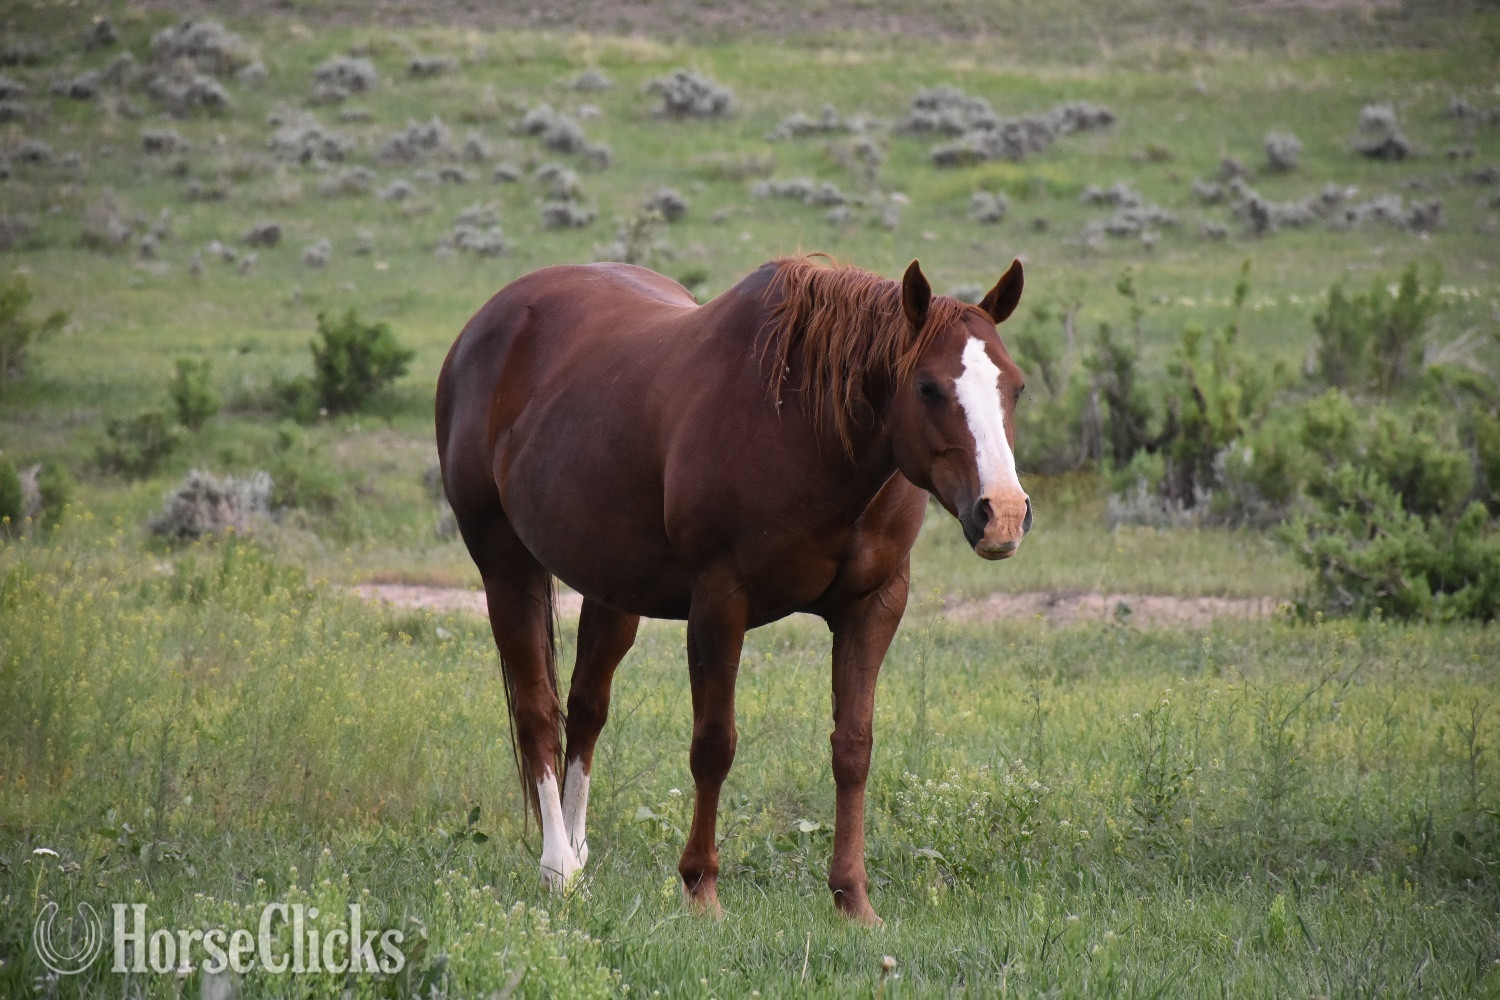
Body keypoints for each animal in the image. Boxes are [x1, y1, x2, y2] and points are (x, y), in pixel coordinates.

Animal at [435, 253, 1030, 924]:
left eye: (1015, 386)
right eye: (928, 387)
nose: (1003, 515)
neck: (805, 428)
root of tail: (487, 324)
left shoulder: (873, 607)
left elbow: (853, 748)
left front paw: (853, 899)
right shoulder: (720, 604)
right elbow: (714, 745)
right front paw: (701, 888)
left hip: (611, 590)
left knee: (586, 710)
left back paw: (581, 860)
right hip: (505, 566)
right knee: (536, 711)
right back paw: (558, 868)